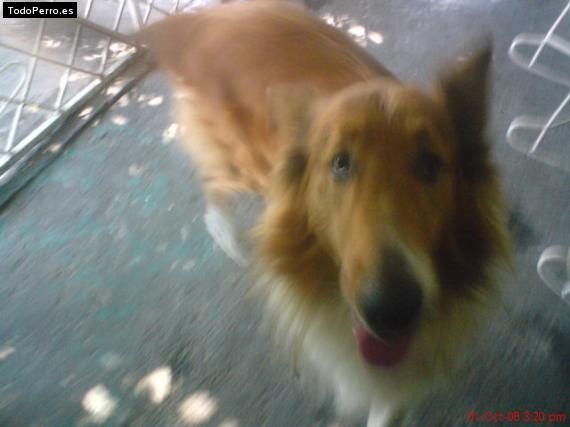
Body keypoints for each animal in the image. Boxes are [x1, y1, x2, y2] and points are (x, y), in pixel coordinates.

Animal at [140, 1, 511, 425]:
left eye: (430, 164)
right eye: (340, 164)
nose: (392, 310)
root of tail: (202, 21)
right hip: (245, 161)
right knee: (213, 179)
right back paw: (225, 234)